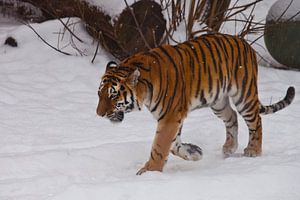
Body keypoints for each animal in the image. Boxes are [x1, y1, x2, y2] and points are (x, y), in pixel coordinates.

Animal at [96, 33, 296, 175]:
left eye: (113, 96)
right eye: (99, 94)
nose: (99, 114)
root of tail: (244, 42)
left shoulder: (170, 116)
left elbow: (160, 146)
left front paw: (149, 172)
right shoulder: (173, 116)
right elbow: (173, 145)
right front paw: (195, 152)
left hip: (244, 95)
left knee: (256, 121)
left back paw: (253, 150)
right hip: (218, 102)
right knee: (232, 117)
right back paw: (229, 148)